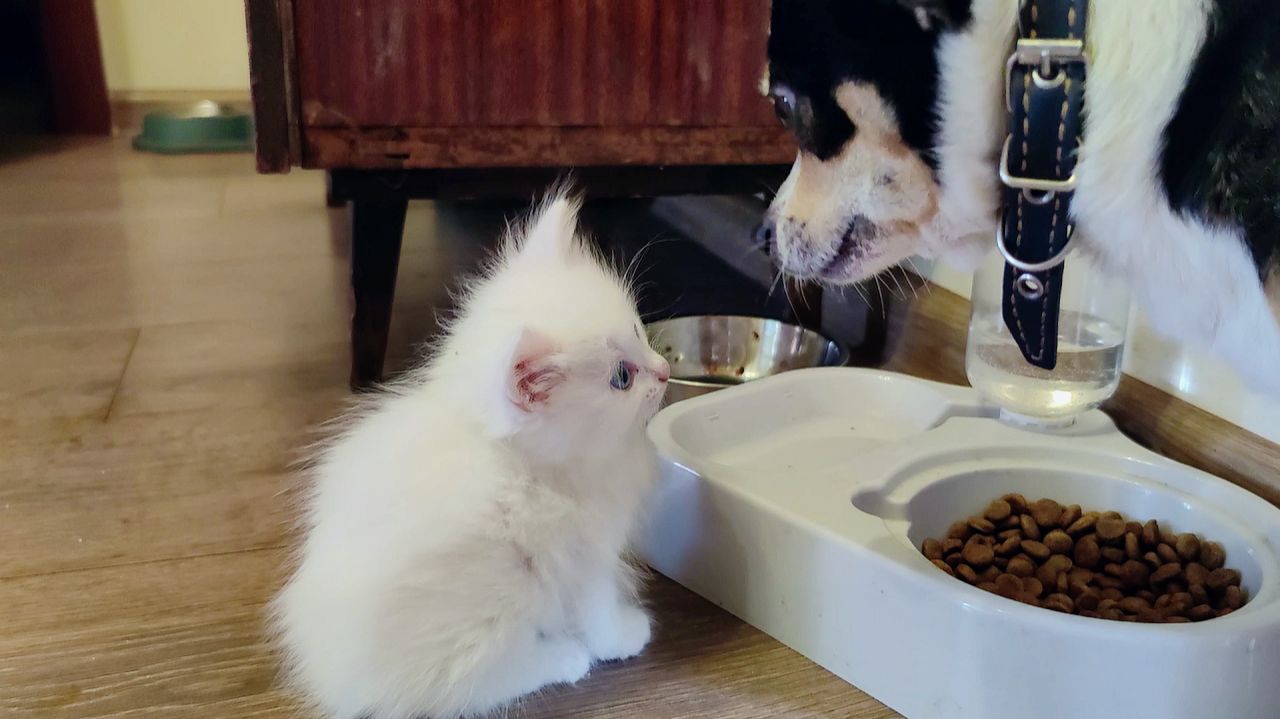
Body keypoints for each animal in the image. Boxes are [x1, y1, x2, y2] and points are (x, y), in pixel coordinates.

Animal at [272, 190, 671, 719]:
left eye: (639, 332)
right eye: (621, 378)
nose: (664, 371)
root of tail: (329, 672)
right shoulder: (586, 552)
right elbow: (597, 612)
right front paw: (624, 636)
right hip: (491, 613)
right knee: (468, 684)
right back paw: (563, 658)